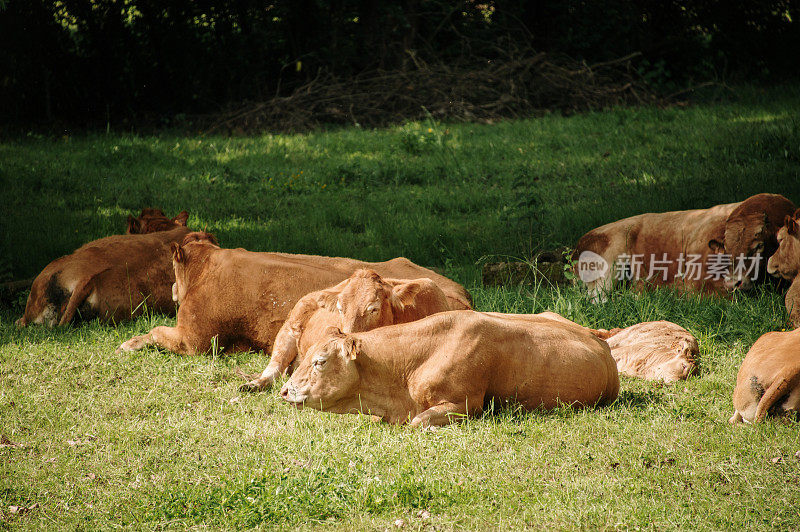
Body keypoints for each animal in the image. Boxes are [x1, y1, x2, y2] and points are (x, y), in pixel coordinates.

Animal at [115, 233, 472, 358]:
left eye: (172, 269)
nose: (174, 291)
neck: (206, 266)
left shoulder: (195, 339)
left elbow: (154, 331)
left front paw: (127, 344)